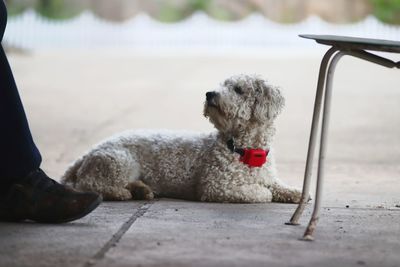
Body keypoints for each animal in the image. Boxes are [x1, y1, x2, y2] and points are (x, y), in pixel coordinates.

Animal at [61, 74, 302, 204]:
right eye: (224, 84)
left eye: (238, 89)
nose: (209, 93)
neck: (245, 150)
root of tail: (88, 152)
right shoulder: (217, 187)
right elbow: (263, 193)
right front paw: (265, 193)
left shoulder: (268, 177)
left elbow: (278, 186)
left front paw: (297, 193)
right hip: (120, 162)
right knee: (90, 185)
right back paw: (121, 193)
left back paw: (142, 190)